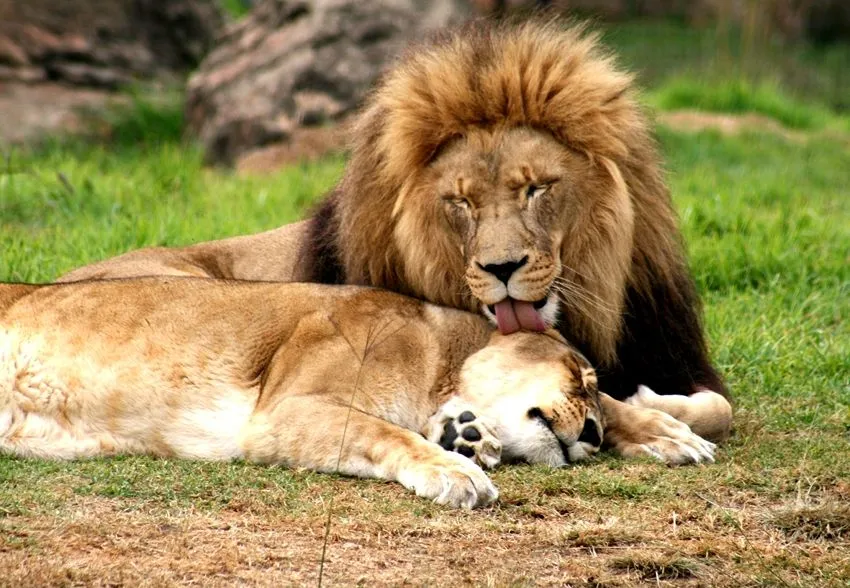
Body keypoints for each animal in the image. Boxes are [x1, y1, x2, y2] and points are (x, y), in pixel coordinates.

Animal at [1, 278, 721, 508]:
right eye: (581, 376)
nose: (592, 436)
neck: (439, 362)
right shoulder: (286, 410)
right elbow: (383, 431)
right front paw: (456, 470)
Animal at [59, 19, 732, 452]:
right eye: (460, 202)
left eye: (536, 189)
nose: (502, 268)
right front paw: (655, 426)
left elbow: (718, 406)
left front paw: (657, 409)